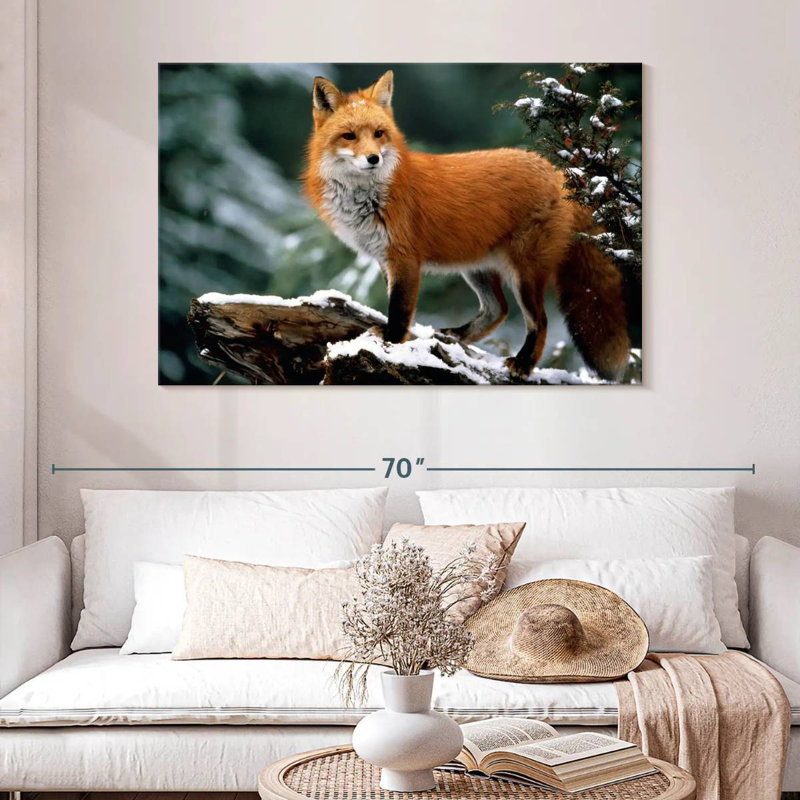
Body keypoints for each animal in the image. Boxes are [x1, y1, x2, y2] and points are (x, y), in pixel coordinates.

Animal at [303, 70, 631, 380]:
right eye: (349, 136)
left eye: (379, 133)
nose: (373, 158)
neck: (369, 197)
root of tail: (559, 172)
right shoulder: (385, 259)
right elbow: (396, 305)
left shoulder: (405, 258)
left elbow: (399, 310)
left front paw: (392, 343)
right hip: (476, 267)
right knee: (498, 310)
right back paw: (457, 337)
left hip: (524, 273)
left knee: (540, 320)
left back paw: (523, 364)